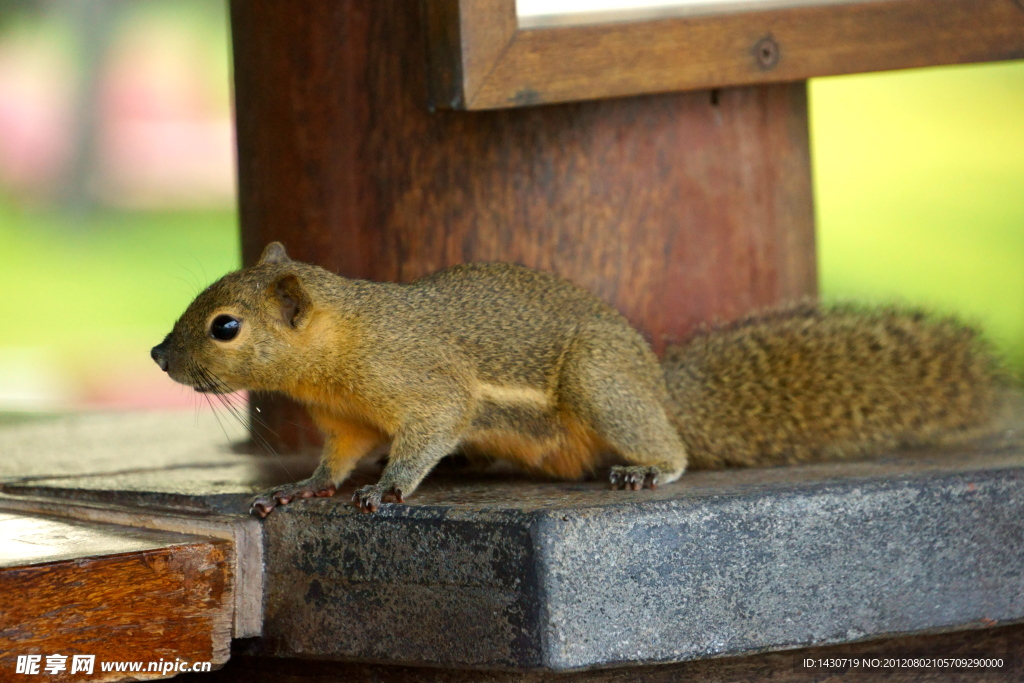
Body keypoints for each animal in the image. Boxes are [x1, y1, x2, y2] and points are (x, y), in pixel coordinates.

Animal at [149, 242, 999, 516]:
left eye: (226, 326)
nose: (158, 355)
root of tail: (661, 388)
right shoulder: (351, 420)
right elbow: (335, 460)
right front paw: (301, 488)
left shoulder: (423, 384)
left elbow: (428, 432)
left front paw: (390, 487)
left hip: (600, 383)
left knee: (672, 448)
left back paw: (649, 467)